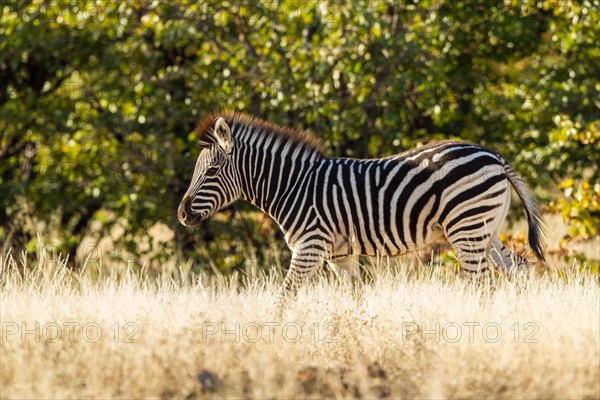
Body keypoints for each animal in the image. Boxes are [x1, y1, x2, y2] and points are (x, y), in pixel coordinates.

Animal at [177, 112, 544, 306]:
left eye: (211, 172)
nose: (181, 214)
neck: (292, 187)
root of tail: (492, 155)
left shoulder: (310, 247)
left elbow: (285, 296)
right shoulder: (339, 255)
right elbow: (353, 299)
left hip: (466, 229)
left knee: (481, 284)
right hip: (485, 230)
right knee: (519, 269)